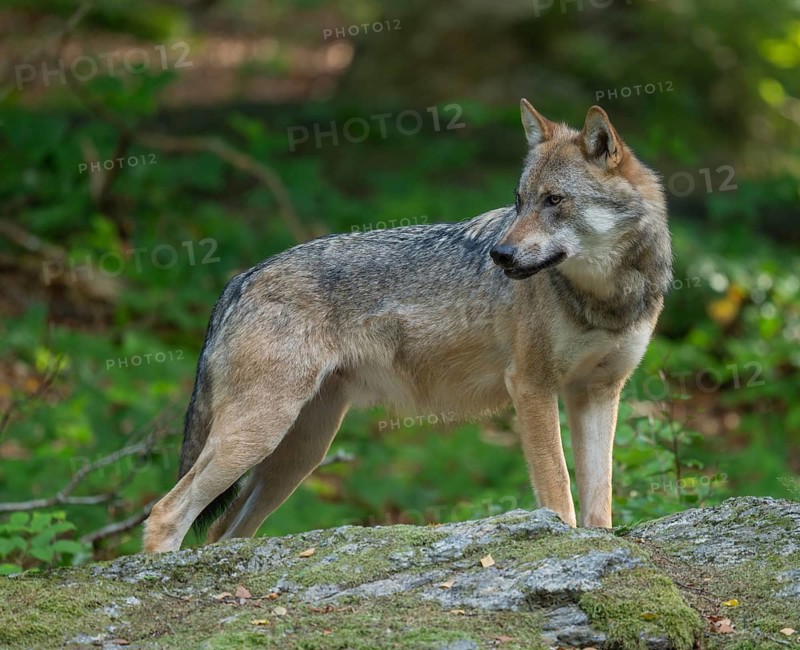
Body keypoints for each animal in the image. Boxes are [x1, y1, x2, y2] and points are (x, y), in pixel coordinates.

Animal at [144, 100, 672, 553]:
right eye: (520, 201)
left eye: (555, 200)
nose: (499, 255)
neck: (604, 298)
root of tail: (240, 279)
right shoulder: (532, 387)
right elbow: (559, 490)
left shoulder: (598, 392)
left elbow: (599, 500)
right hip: (258, 436)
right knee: (165, 513)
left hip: (297, 454)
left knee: (221, 534)